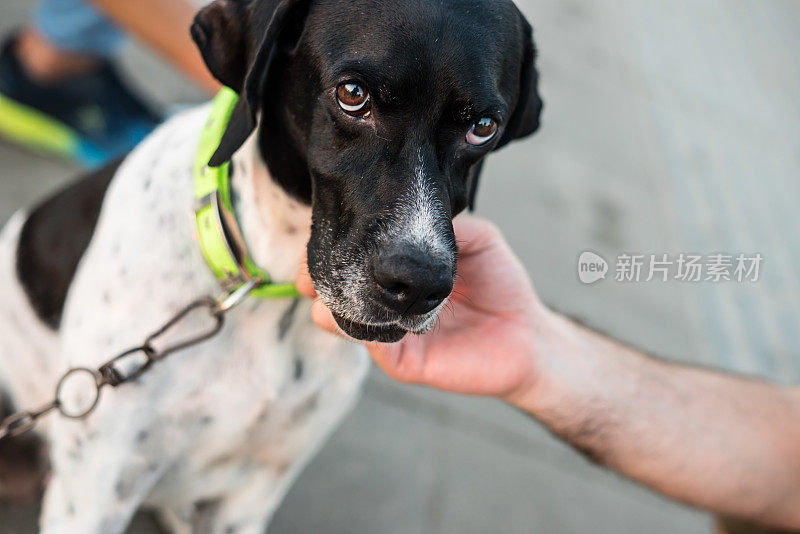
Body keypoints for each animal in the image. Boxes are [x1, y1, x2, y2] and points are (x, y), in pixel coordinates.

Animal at [0, 1, 544, 532]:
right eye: (352, 94)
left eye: (483, 128)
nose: (418, 284)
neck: (263, 289)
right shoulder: (96, 497)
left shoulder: (254, 493)